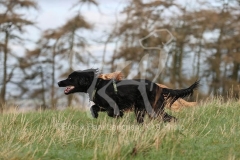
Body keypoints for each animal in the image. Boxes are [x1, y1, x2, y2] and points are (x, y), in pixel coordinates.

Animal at [58, 68, 199, 122]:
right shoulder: (102, 104)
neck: (97, 85)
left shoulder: (113, 105)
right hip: (142, 110)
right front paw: (95, 114)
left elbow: (111, 111)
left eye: (70, 78)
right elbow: (94, 107)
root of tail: (159, 87)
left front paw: (118, 115)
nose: (59, 82)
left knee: (171, 118)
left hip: (153, 109)